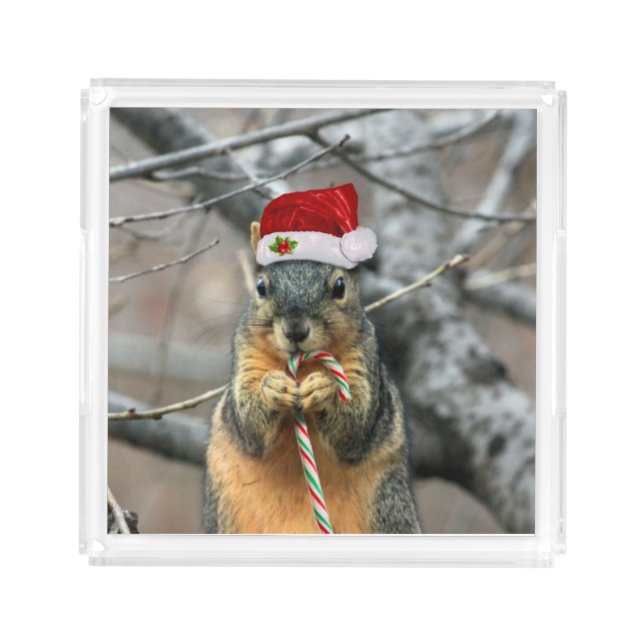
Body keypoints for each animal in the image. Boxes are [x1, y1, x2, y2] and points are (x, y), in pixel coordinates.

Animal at [202, 184, 421, 534]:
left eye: (340, 286)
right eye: (261, 286)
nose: (295, 330)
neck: (302, 366)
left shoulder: (363, 359)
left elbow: (355, 426)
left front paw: (324, 389)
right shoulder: (246, 356)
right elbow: (248, 424)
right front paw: (273, 388)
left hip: (389, 509)